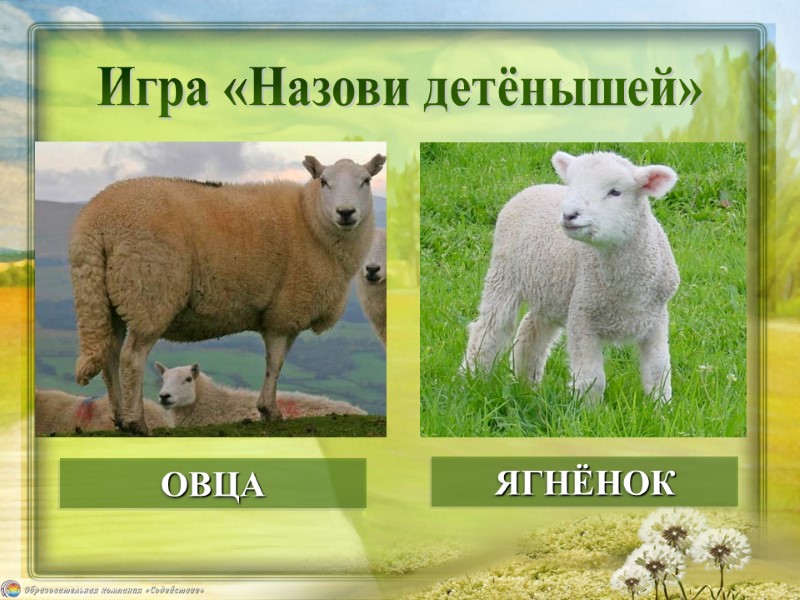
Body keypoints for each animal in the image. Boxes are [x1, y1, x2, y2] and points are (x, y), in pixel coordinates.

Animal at [462, 150, 680, 405]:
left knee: (531, 329)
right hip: (504, 274)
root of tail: (534, 188)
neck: (625, 288)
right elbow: (592, 379)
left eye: (615, 192)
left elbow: (658, 371)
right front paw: (589, 411)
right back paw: (472, 377)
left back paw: (526, 383)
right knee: (489, 329)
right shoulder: (582, 315)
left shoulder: (656, 317)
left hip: (550, 291)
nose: (569, 215)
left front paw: (661, 408)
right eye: (572, 185)